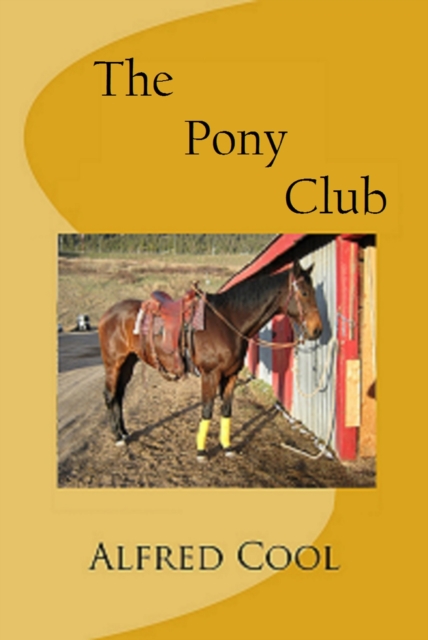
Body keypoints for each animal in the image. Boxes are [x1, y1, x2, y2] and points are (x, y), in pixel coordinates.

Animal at [98, 260, 323, 460]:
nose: (317, 330)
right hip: (113, 363)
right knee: (110, 395)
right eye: (304, 293)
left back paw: (124, 432)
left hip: (128, 363)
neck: (228, 321)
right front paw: (201, 452)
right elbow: (206, 411)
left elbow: (226, 410)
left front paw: (227, 447)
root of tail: (108, 313)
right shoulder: (210, 375)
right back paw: (118, 437)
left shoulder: (231, 376)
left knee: (118, 395)